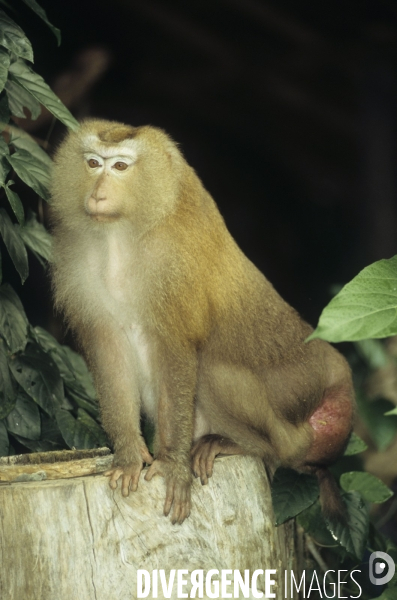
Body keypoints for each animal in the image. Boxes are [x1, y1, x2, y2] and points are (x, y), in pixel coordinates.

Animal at [49, 118, 352, 524]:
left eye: (121, 167)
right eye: (94, 163)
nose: (98, 194)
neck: (120, 235)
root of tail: (336, 374)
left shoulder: (176, 264)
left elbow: (178, 348)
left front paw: (172, 464)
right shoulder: (80, 265)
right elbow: (108, 348)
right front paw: (129, 456)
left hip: (297, 423)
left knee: (209, 367)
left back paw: (243, 446)